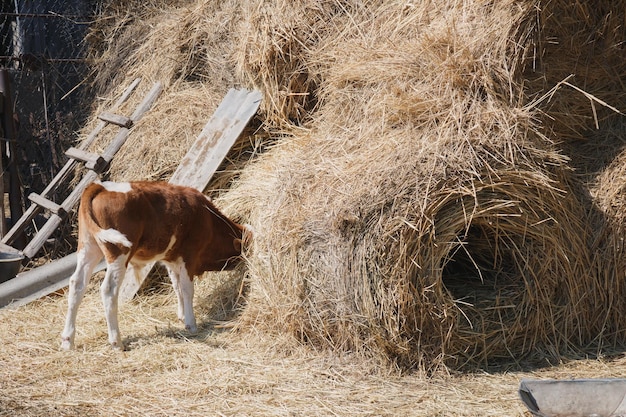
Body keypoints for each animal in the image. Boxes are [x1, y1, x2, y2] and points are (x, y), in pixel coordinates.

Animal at [59, 180, 250, 350]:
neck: (208, 219)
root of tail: (99, 186)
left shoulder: (172, 259)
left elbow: (177, 287)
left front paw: (182, 316)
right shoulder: (189, 256)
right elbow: (187, 289)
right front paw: (191, 323)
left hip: (88, 247)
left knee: (77, 284)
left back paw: (68, 341)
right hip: (118, 252)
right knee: (108, 290)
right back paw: (116, 341)